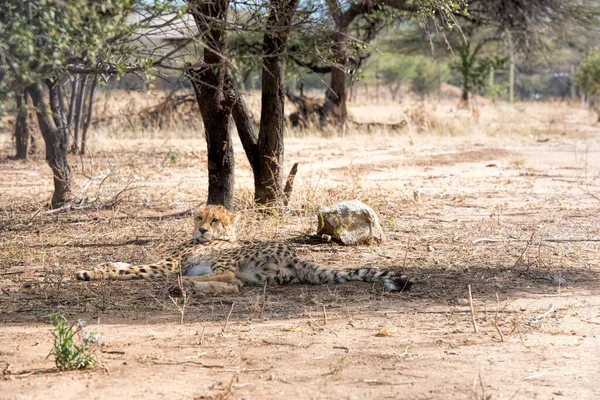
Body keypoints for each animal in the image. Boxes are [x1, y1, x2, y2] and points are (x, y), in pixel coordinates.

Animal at [74, 206, 412, 294]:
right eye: (199, 217)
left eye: (215, 220)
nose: (203, 230)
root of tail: (296, 256)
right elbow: (120, 262)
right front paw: (103, 265)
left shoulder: (168, 264)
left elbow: (133, 269)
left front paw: (90, 273)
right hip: (261, 276)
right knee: (236, 284)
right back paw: (187, 287)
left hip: (226, 261)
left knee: (230, 281)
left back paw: (184, 285)